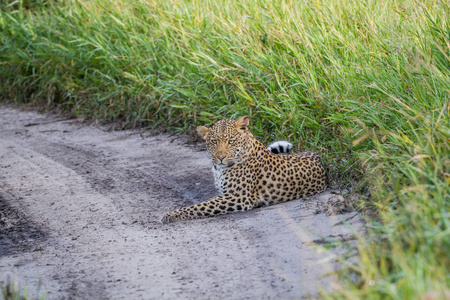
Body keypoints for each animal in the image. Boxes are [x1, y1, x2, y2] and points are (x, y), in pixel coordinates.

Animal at [162, 116, 326, 224]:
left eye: (231, 141)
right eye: (213, 142)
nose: (220, 157)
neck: (218, 169)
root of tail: (318, 154)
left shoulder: (237, 197)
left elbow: (201, 205)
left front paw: (170, 215)